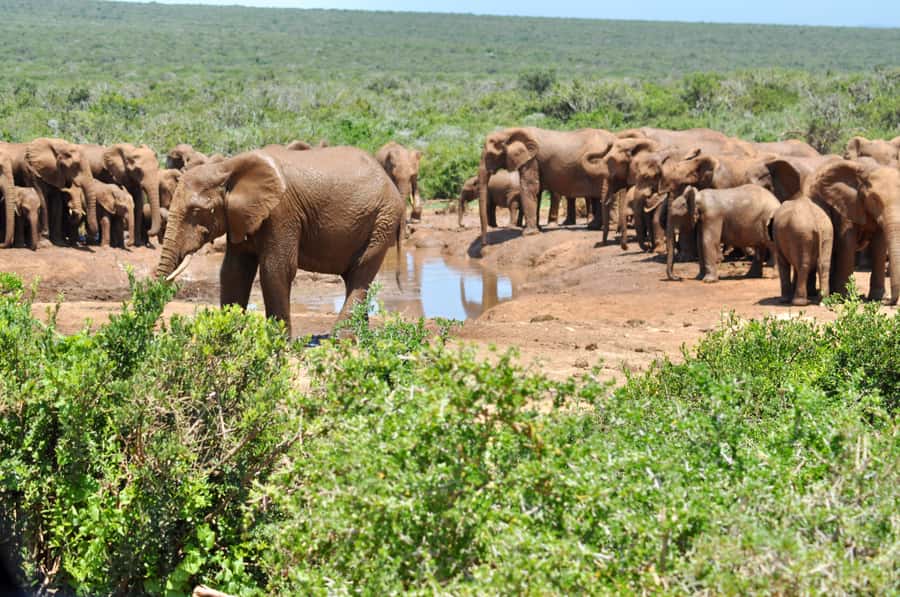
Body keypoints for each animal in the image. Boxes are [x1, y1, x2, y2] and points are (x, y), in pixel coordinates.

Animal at [155, 146, 406, 336]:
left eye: (197, 211)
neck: (227, 167)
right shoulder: (240, 216)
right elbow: (234, 271)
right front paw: (230, 334)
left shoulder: (281, 212)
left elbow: (275, 269)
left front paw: (278, 342)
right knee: (353, 277)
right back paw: (358, 336)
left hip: (383, 219)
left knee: (361, 273)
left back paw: (340, 338)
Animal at [477, 127, 616, 248]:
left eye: (490, 155)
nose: (485, 244)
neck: (510, 131)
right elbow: (536, 191)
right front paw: (537, 229)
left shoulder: (532, 159)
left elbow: (529, 187)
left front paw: (528, 234)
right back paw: (594, 227)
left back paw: (609, 228)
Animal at [807, 159, 900, 304]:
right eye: (874, 199)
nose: (889, 301)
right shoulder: (846, 204)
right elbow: (847, 242)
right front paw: (845, 297)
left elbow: (879, 245)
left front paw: (877, 298)